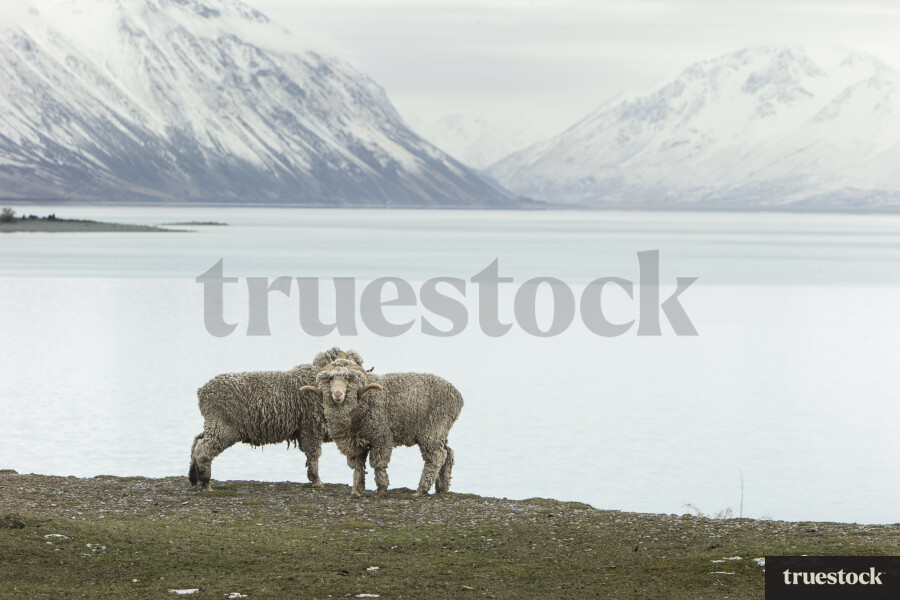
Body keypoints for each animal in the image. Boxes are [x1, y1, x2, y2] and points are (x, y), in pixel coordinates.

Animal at [188, 347, 364, 490]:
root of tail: (202, 391)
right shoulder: (310, 426)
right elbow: (313, 454)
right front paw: (317, 481)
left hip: (215, 424)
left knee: (197, 441)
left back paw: (194, 478)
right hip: (223, 427)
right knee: (203, 450)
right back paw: (205, 482)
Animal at [300, 359, 463, 499]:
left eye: (348, 379)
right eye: (330, 379)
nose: (338, 394)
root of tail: (457, 395)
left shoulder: (381, 436)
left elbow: (378, 463)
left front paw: (381, 489)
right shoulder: (354, 443)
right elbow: (358, 466)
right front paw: (356, 491)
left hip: (432, 429)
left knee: (436, 456)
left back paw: (421, 489)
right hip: (441, 431)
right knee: (448, 453)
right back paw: (442, 486)